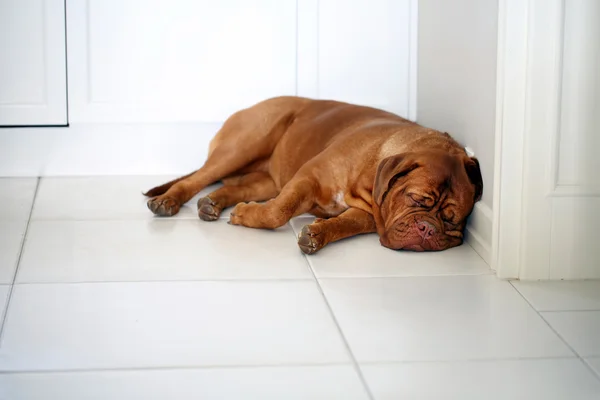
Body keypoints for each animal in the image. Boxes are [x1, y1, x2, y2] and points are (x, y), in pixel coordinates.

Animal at [144, 96, 482, 253]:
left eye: (453, 220)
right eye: (417, 199)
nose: (427, 229)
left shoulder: (367, 214)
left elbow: (345, 224)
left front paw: (318, 234)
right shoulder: (308, 177)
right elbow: (278, 212)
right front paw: (249, 217)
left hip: (268, 179)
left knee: (236, 188)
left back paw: (212, 203)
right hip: (242, 146)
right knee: (195, 179)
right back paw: (168, 202)